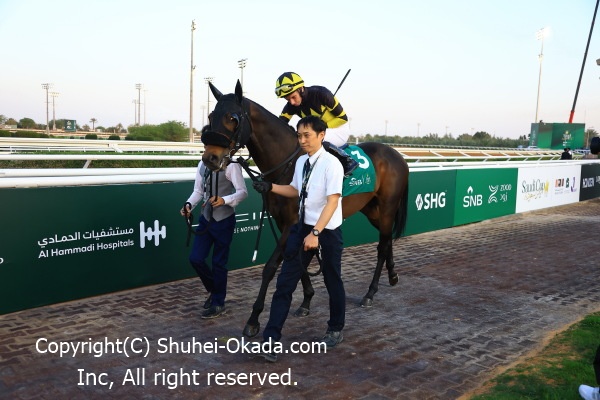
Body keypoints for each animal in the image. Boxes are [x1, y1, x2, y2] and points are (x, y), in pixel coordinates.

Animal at [201, 81, 409, 338]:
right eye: (211, 116)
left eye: (233, 118)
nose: (210, 157)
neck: (286, 163)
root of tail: (397, 155)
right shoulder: (285, 222)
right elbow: (297, 263)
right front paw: (306, 301)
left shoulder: (290, 223)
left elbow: (271, 267)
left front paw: (253, 319)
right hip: (372, 210)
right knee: (387, 239)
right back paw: (392, 275)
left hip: (388, 206)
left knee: (382, 246)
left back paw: (370, 292)